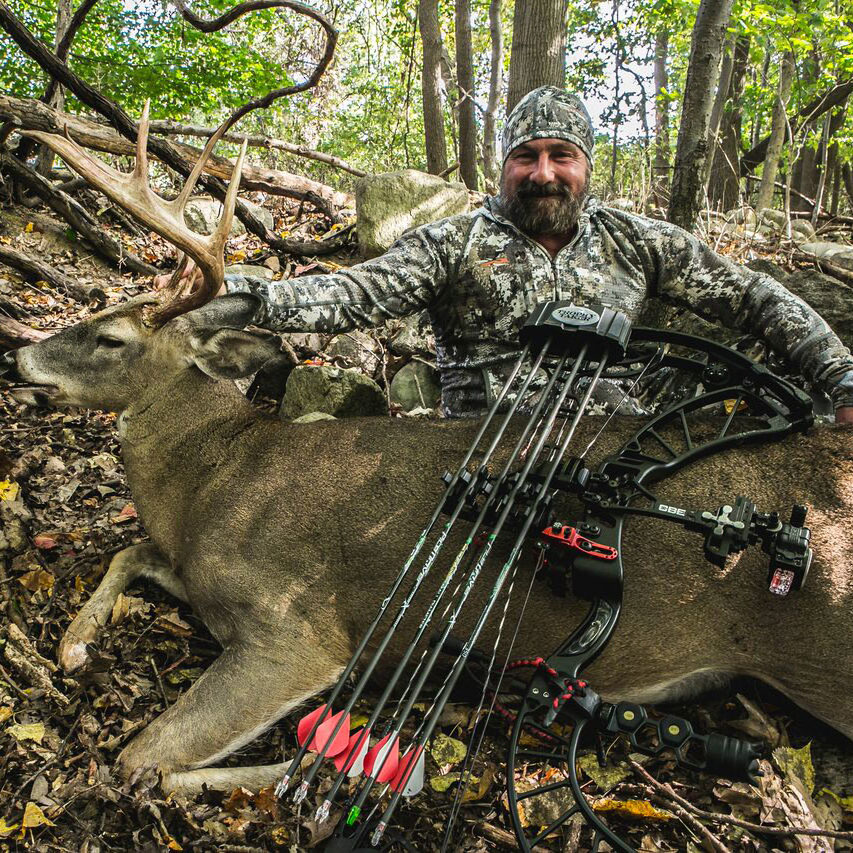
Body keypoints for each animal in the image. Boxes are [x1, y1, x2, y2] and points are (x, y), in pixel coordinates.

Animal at [3, 107, 852, 806]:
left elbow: (139, 759)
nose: (20, 358)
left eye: (111, 337)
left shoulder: (293, 626)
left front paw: (349, 764)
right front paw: (75, 643)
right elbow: (126, 553)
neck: (208, 478)